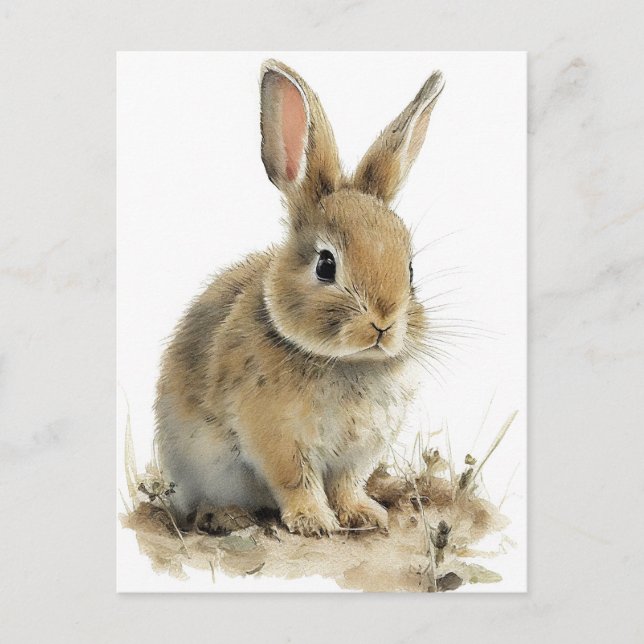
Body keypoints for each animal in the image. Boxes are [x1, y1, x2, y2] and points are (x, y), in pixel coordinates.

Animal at [155, 59, 445, 537]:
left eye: (410, 270)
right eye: (326, 265)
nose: (383, 324)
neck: (345, 362)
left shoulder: (359, 453)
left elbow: (347, 484)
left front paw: (365, 515)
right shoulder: (277, 438)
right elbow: (297, 481)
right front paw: (314, 523)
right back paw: (227, 516)